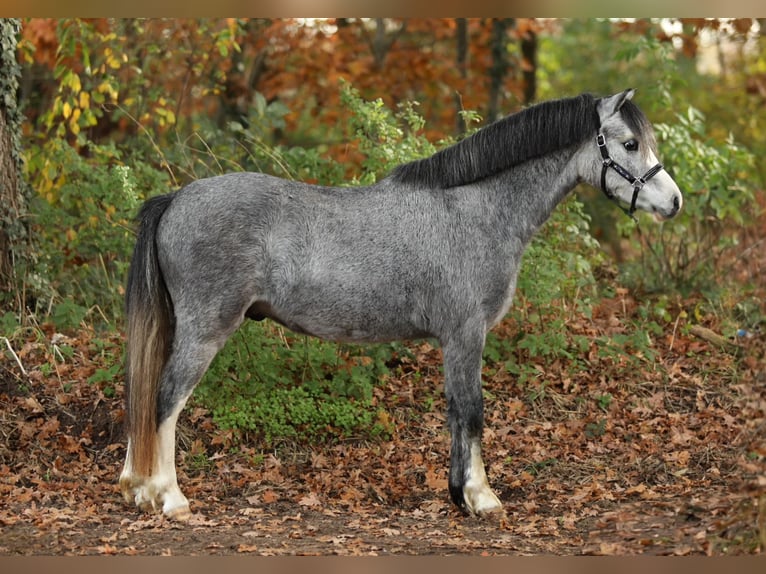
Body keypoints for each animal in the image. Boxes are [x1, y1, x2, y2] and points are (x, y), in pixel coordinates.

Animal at [119, 89, 682, 520]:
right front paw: (481, 498)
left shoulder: (455, 341)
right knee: (166, 398)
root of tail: (175, 199)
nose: (674, 202)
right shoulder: (466, 334)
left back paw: (139, 488)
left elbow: (455, 412)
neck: (475, 209)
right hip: (205, 329)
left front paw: (459, 494)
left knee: (145, 394)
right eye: (630, 143)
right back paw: (170, 498)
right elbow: (472, 412)